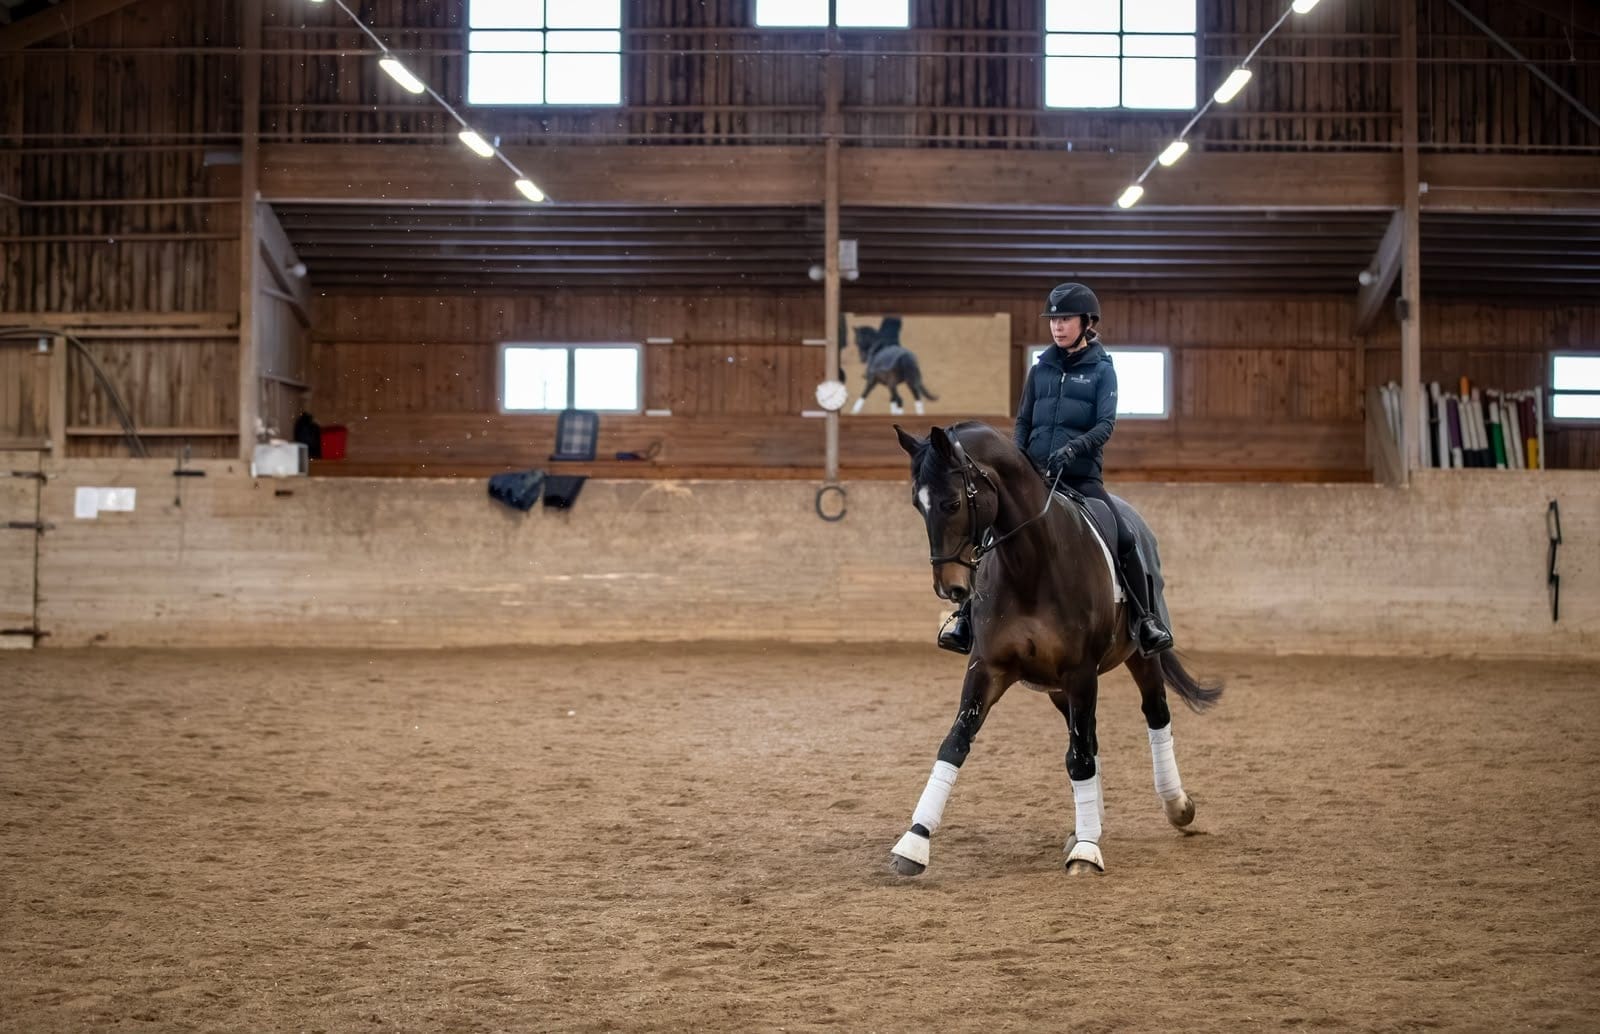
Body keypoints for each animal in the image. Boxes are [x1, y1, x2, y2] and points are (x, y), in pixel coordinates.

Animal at [889, 421, 1222, 876]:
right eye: (917, 505)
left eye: (952, 502)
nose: (950, 588)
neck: (1030, 565)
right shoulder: (988, 667)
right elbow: (955, 743)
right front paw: (914, 841)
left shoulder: (1080, 672)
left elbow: (1079, 758)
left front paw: (1086, 852)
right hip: (1057, 691)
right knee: (1090, 740)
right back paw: (1091, 823)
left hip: (1139, 658)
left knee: (1155, 715)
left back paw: (1176, 807)